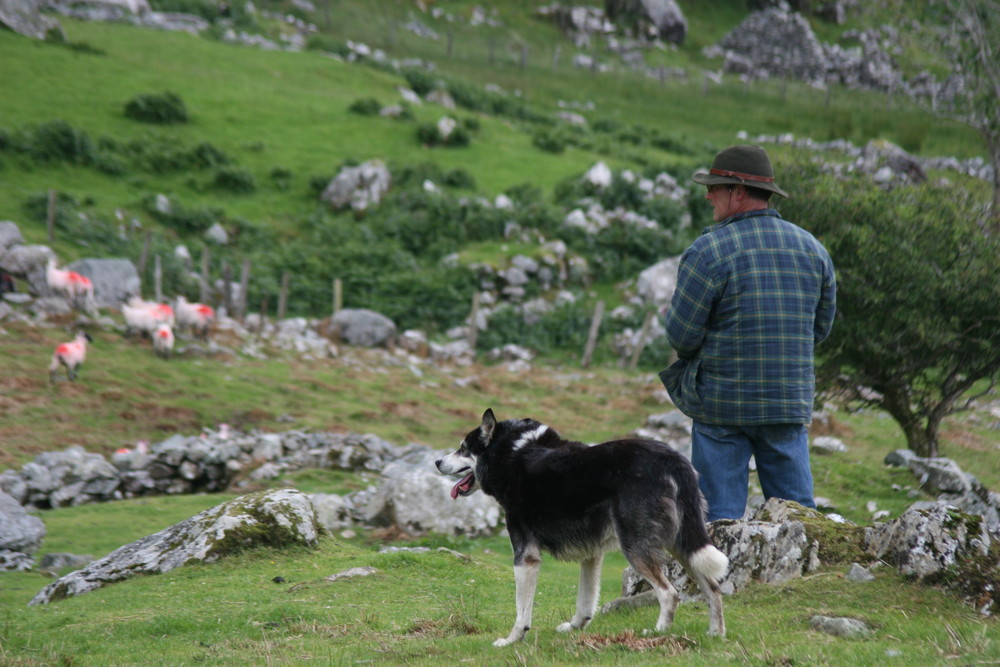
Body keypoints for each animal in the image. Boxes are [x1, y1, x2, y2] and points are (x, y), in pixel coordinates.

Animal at [436, 408, 728, 648]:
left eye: (463, 448)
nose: (437, 462)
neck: (510, 453)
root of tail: (673, 459)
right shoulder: (592, 554)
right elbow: (585, 600)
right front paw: (576, 626)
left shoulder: (524, 556)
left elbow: (522, 611)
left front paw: (512, 640)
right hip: (684, 546)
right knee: (713, 588)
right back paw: (715, 634)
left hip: (636, 547)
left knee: (669, 594)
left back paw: (657, 633)